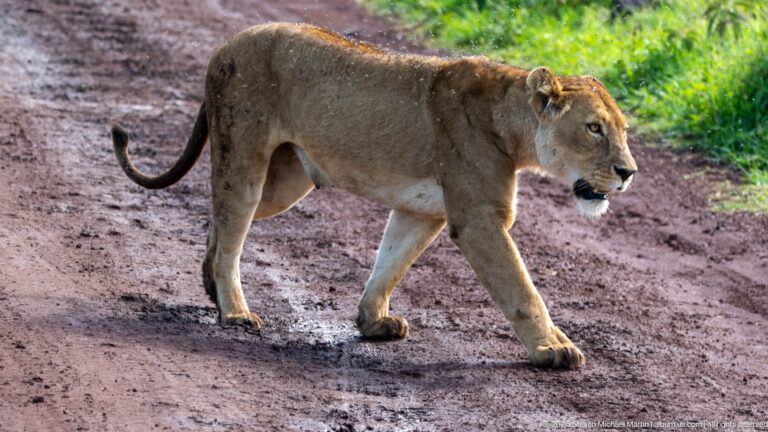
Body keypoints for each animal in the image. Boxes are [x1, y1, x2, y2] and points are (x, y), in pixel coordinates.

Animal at [111, 23, 637, 369]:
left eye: (624, 130)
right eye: (594, 128)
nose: (628, 172)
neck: (513, 124)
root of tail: (226, 43)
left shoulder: (423, 212)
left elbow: (391, 262)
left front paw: (372, 322)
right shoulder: (479, 218)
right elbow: (522, 289)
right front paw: (552, 348)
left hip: (285, 182)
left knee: (220, 223)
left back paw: (211, 289)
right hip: (244, 155)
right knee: (230, 224)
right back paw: (235, 311)